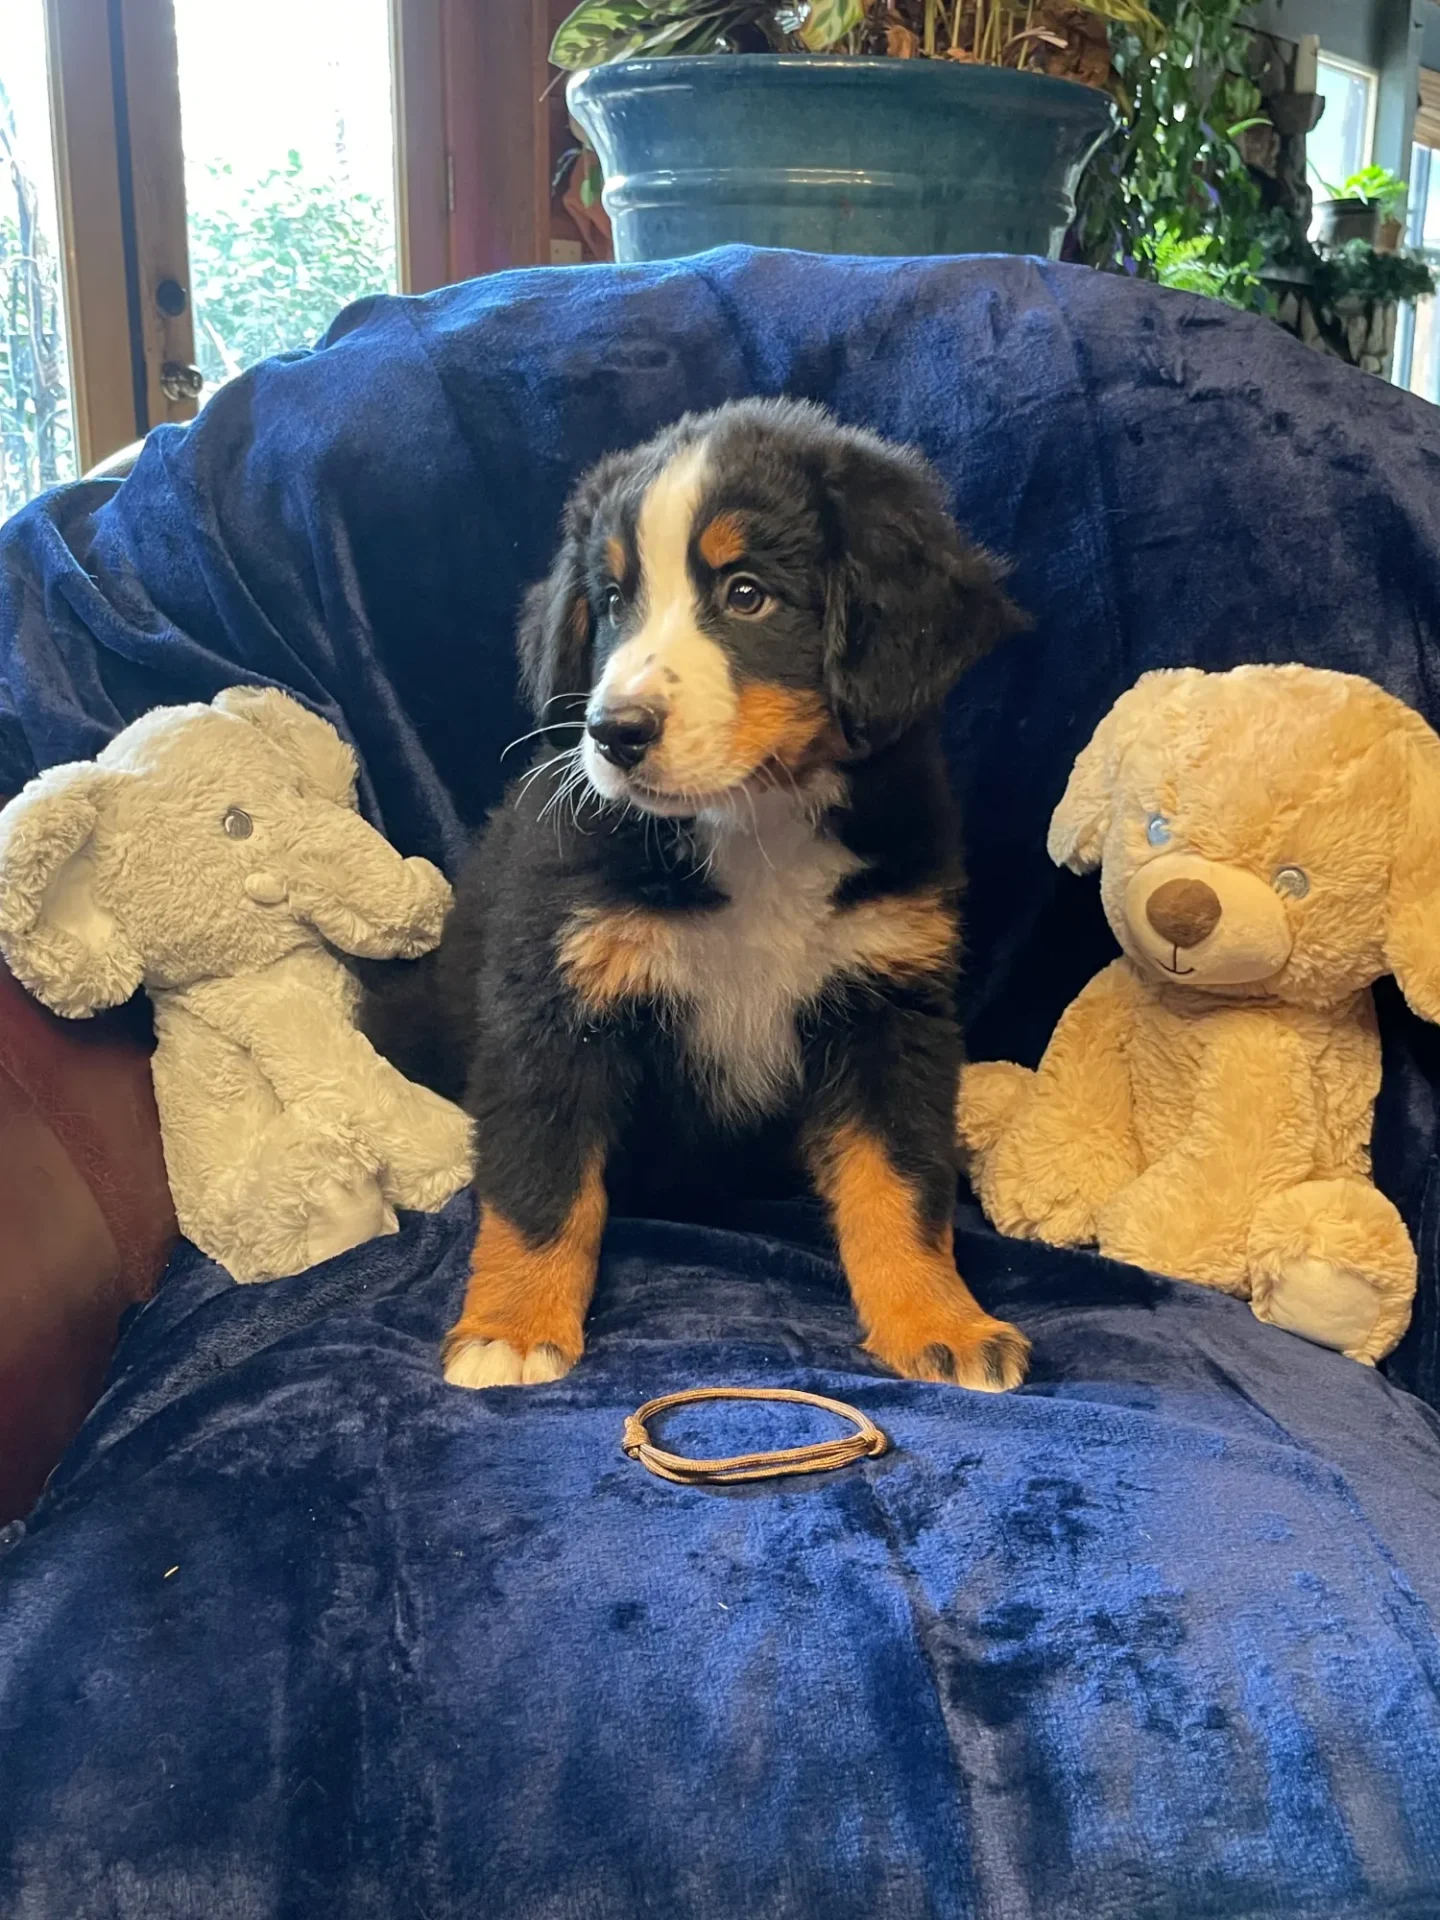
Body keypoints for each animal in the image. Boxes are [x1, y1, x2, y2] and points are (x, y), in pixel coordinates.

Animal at [366, 401, 1029, 1397]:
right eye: (611, 603)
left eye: (748, 593)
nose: (614, 732)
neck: (754, 831)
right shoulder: (555, 1002)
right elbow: (541, 1183)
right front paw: (512, 1330)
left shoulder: (888, 1006)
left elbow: (902, 1184)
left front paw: (941, 1323)